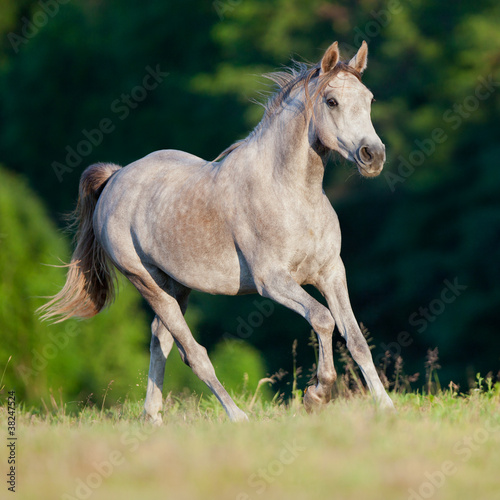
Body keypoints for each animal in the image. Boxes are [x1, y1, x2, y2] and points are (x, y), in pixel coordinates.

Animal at [40, 41, 394, 422]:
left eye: (369, 99)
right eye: (331, 101)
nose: (373, 155)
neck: (293, 194)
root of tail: (116, 176)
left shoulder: (331, 272)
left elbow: (355, 338)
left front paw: (386, 406)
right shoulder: (273, 282)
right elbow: (323, 319)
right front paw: (317, 393)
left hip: (175, 285)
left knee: (160, 339)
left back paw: (153, 417)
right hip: (145, 282)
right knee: (193, 353)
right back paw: (236, 415)